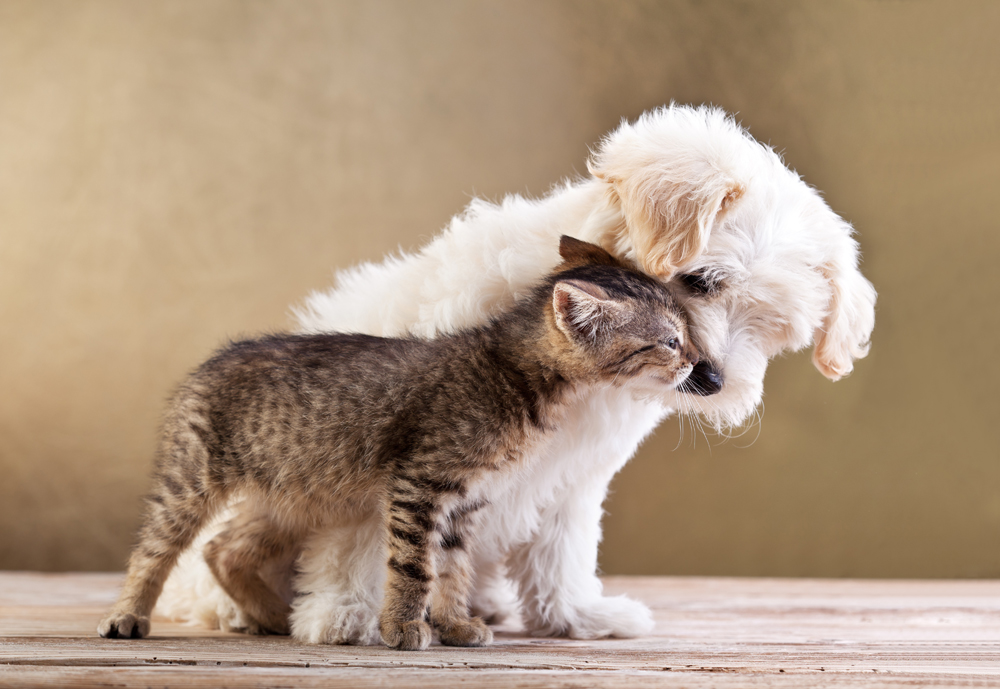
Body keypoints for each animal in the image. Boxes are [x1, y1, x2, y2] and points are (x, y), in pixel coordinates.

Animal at [99, 234, 696, 648]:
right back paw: (127, 615)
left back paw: (272, 616)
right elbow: (414, 566)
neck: (514, 374)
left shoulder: (466, 501)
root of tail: (213, 359)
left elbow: (452, 570)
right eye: (669, 341)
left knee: (223, 549)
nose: (696, 363)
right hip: (191, 479)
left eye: (684, 334)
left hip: (292, 495)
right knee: (154, 548)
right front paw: (405, 627)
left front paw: (455, 623)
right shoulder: (419, 484)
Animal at [156, 105, 876, 644]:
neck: (572, 369)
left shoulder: (574, 472)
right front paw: (347, 612)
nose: (714, 380)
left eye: (771, 328)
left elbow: (561, 545)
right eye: (700, 281)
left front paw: (575, 615)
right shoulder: (395, 442)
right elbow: (366, 536)